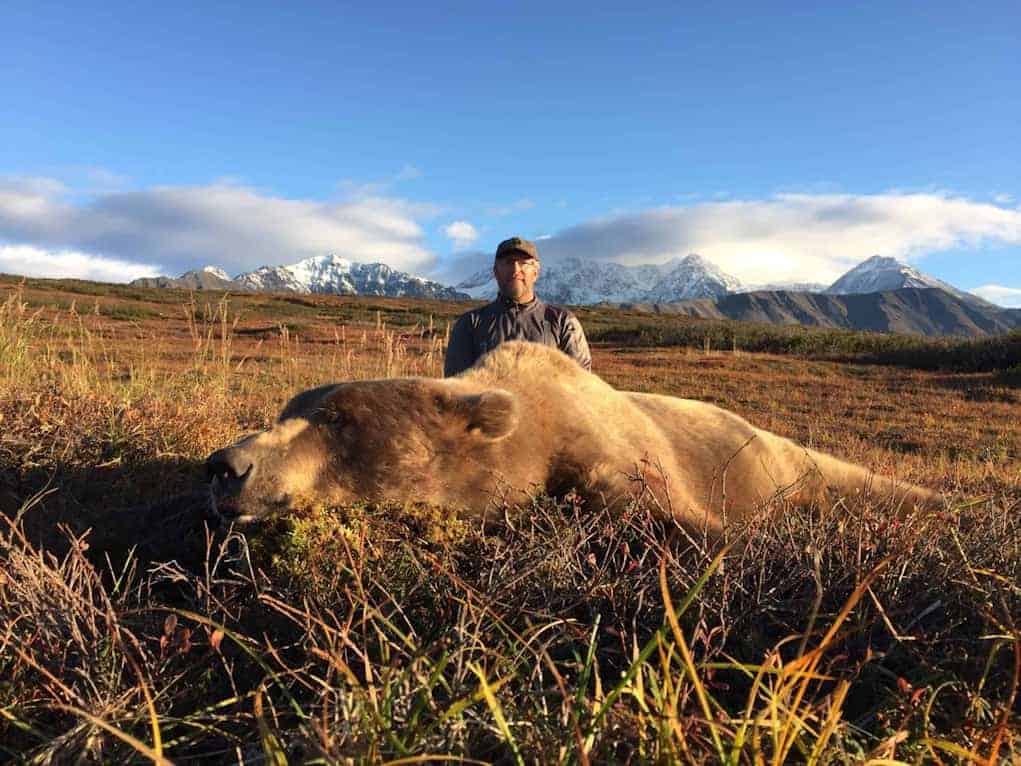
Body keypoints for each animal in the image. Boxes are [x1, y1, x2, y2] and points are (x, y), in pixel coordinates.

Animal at [205, 341, 939, 537]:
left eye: (337, 419)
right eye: (292, 405)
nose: (226, 465)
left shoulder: (606, 448)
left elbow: (668, 511)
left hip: (772, 457)